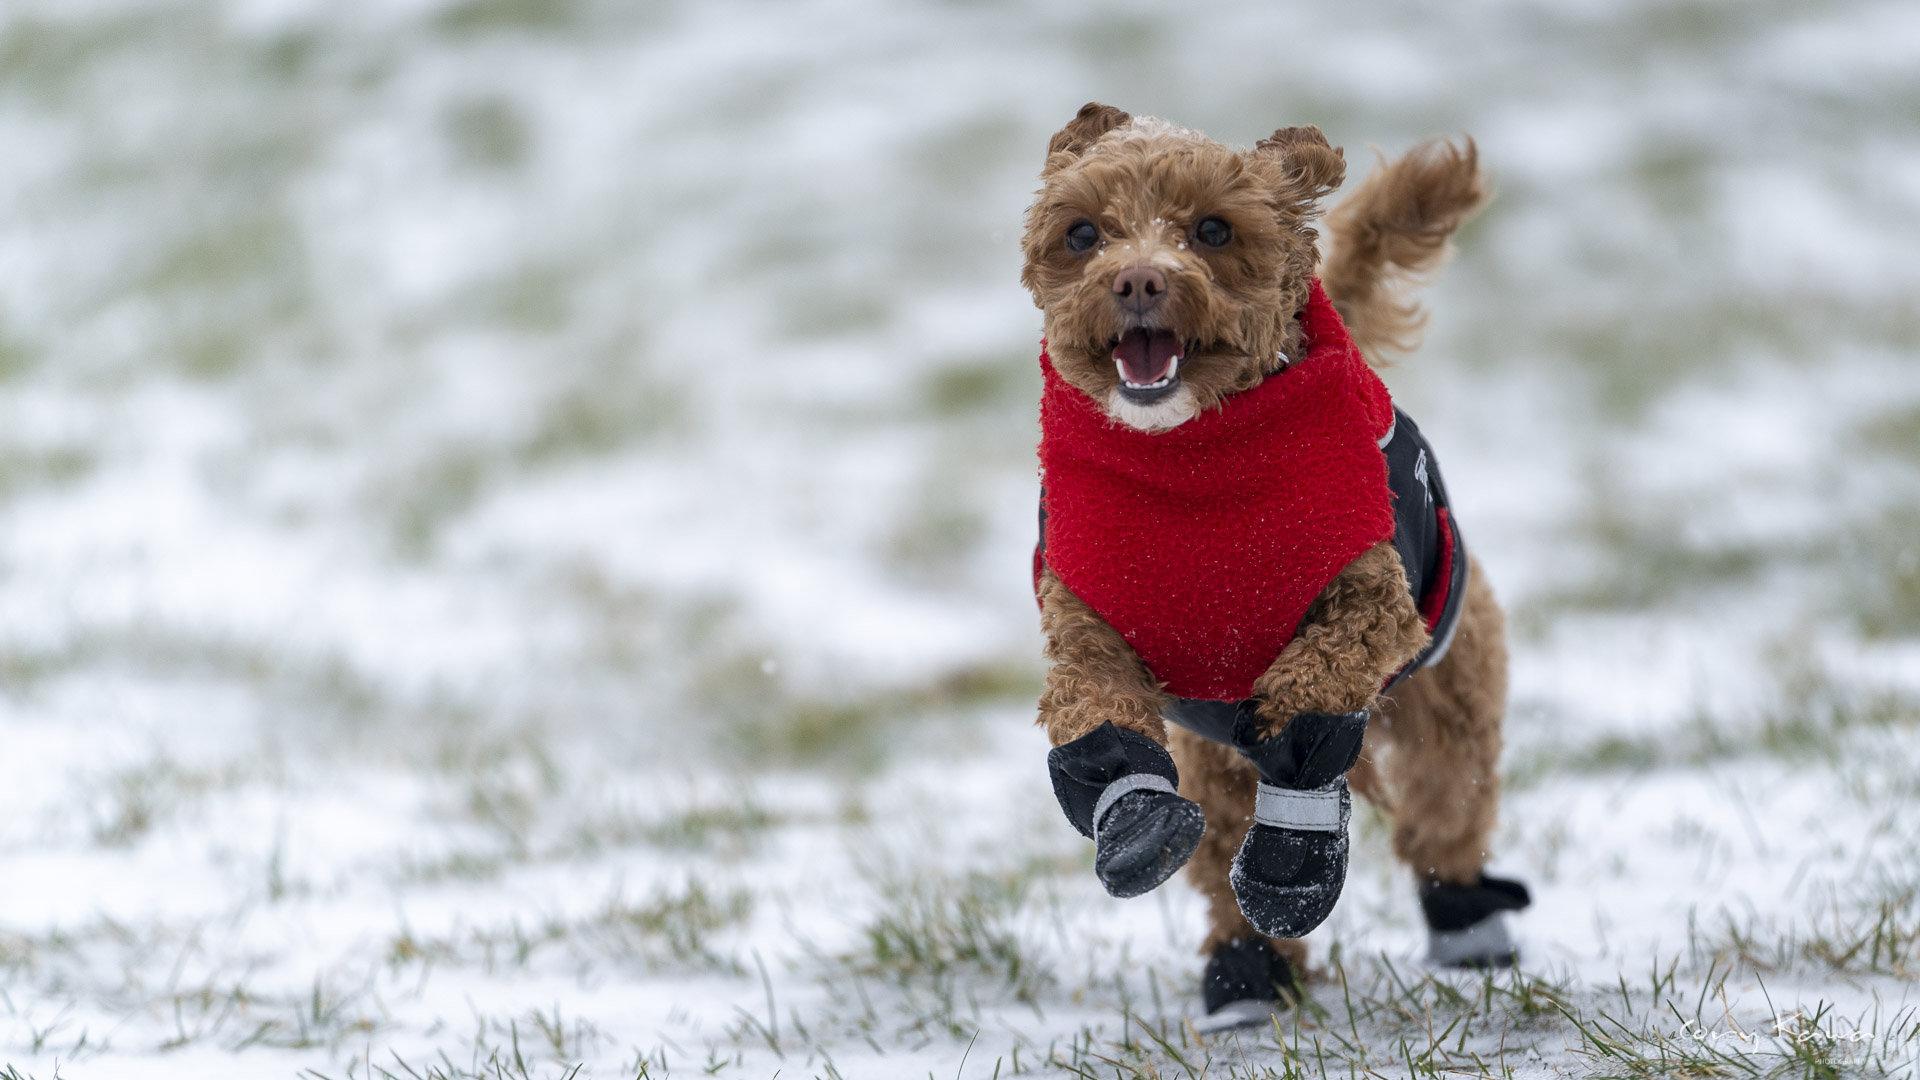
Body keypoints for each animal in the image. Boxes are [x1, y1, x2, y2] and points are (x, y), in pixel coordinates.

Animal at [1021, 102, 1528, 1022]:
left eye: (1213, 230)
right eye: (1082, 234)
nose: (1138, 282)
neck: (1192, 471)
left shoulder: (1371, 604)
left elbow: (1310, 693)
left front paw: (1293, 857)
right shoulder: (1088, 620)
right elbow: (1095, 710)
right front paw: (1134, 821)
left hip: (1453, 693)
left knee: (1445, 812)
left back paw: (1467, 922)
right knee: (1225, 842)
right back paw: (1247, 971)